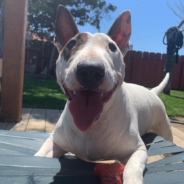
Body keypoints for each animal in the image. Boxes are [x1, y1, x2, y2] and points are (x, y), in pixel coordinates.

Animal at [34, 5, 172, 183]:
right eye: (71, 44)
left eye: (112, 47)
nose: (90, 70)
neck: (93, 125)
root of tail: (152, 92)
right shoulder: (54, 141)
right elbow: (39, 155)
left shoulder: (137, 149)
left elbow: (132, 169)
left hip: (165, 127)